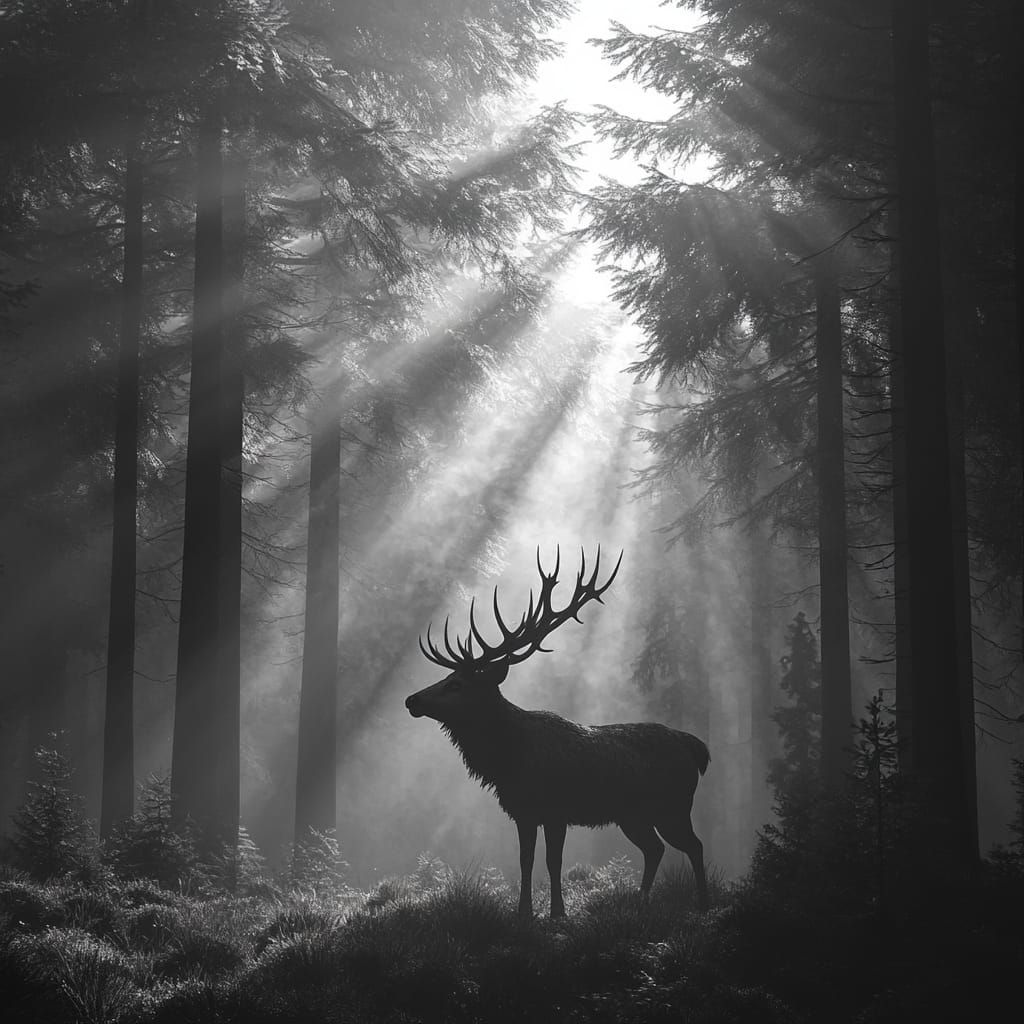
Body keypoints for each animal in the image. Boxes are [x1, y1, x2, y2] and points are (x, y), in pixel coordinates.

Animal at [405, 548, 709, 918]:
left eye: (456, 684)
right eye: (447, 678)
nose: (412, 700)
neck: (508, 759)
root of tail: (694, 746)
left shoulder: (556, 809)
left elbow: (553, 861)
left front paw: (558, 912)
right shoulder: (522, 811)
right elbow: (526, 861)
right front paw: (524, 912)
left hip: (673, 804)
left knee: (694, 845)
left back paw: (702, 904)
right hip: (632, 815)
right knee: (654, 849)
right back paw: (640, 903)